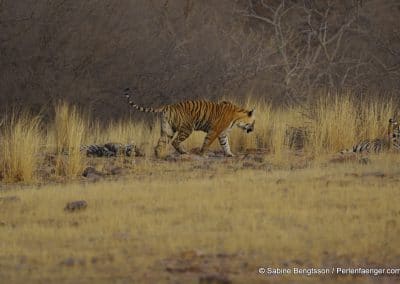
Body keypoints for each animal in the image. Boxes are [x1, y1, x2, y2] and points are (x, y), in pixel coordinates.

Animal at [122, 87, 256, 158]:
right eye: (253, 122)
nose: (253, 129)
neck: (237, 118)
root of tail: (168, 106)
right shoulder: (215, 130)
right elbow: (207, 142)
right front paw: (203, 154)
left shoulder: (223, 133)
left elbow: (225, 144)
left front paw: (230, 154)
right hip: (187, 129)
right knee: (175, 142)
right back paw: (183, 152)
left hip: (167, 130)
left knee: (160, 144)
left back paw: (159, 155)